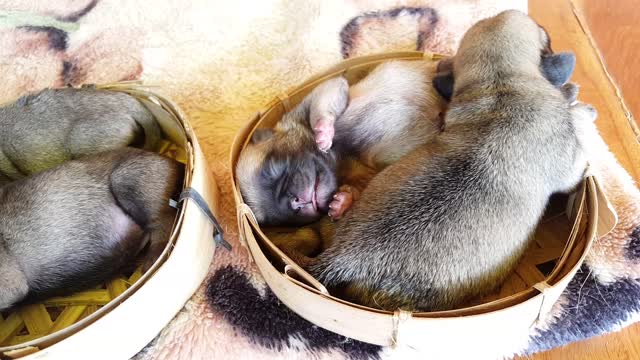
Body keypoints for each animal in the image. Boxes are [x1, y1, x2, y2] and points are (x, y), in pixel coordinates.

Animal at [302, 9, 592, 310]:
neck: (501, 83)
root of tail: (340, 258)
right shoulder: (569, 164)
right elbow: (579, 150)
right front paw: (582, 111)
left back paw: (342, 200)